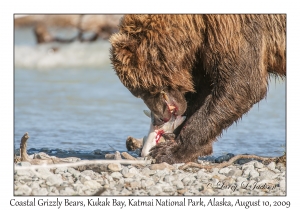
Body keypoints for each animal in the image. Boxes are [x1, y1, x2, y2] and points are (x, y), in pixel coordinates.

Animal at [109, 14, 286, 164]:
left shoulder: (236, 28)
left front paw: (169, 151)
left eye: (143, 90)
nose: (160, 118)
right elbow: (202, 90)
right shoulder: (206, 47)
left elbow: (242, 84)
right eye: (138, 92)